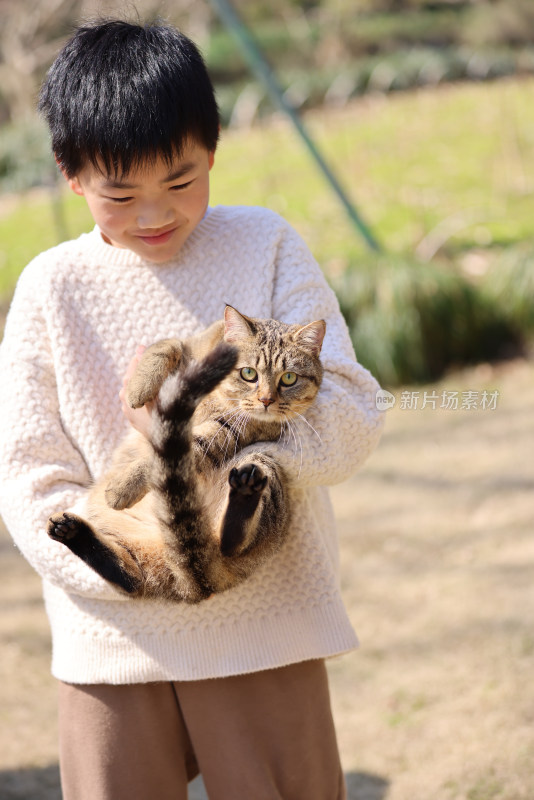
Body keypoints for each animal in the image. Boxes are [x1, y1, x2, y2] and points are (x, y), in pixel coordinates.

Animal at [49, 304, 326, 600]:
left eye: (289, 378)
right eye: (249, 373)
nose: (266, 400)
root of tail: (199, 582)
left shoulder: (226, 433)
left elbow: (168, 455)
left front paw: (123, 488)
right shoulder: (189, 346)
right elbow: (165, 346)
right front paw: (138, 388)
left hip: (260, 465)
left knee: (229, 544)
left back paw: (241, 497)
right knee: (129, 576)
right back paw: (71, 531)